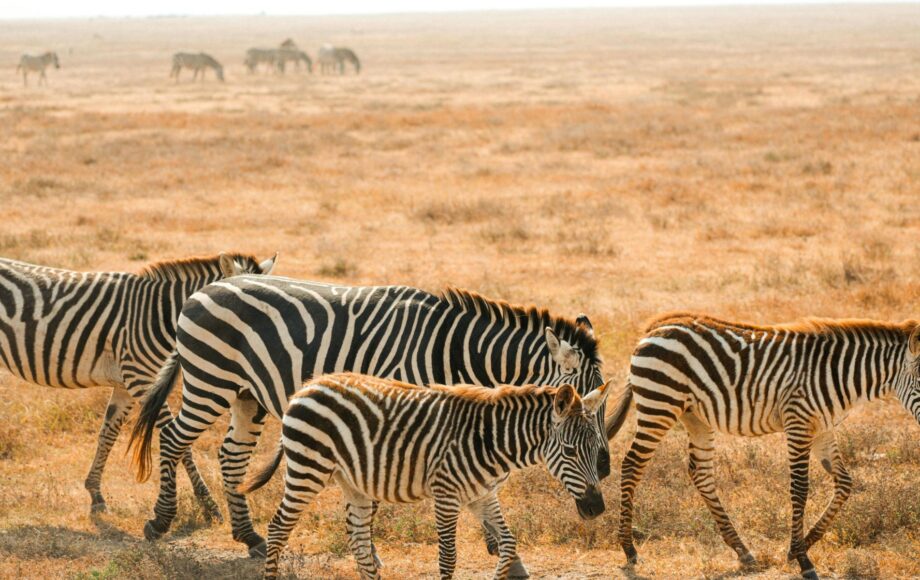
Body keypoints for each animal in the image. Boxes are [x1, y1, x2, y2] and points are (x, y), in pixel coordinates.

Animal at [0, 252, 276, 515]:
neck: (162, 314)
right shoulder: (142, 380)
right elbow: (178, 440)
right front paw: (207, 503)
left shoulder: (126, 385)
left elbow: (108, 434)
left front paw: (95, 494)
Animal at [129, 279, 608, 558]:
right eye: (582, 404)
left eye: (599, 403)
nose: (603, 468)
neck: (452, 353)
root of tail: (210, 284)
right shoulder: (395, 413)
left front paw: (495, 542)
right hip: (209, 380)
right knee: (173, 438)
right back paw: (159, 521)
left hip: (247, 395)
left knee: (231, 455)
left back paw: (250, 536)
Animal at [240, 373, 610, 580]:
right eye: (569, 451)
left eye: (595, 448)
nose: (597, 509)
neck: (491, 441)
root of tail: (308, 386)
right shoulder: (446, 494)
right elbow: (448, 557)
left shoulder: (483, 495)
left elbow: (507, 544)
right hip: (308, 468)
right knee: (278, 528)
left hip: (352, 481)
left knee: (358, 539)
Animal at [603, 313, 920, 580]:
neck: (838, 374)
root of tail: (655, 326)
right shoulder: (798, 422)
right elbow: (800, 489)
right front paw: (803, 560)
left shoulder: (823, 429)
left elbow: (844, 483)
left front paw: (799, 547)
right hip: (659, 405)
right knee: (631, 465)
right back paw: (629, 549)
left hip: (694, 416)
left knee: (700, 473)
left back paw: (742, 551)